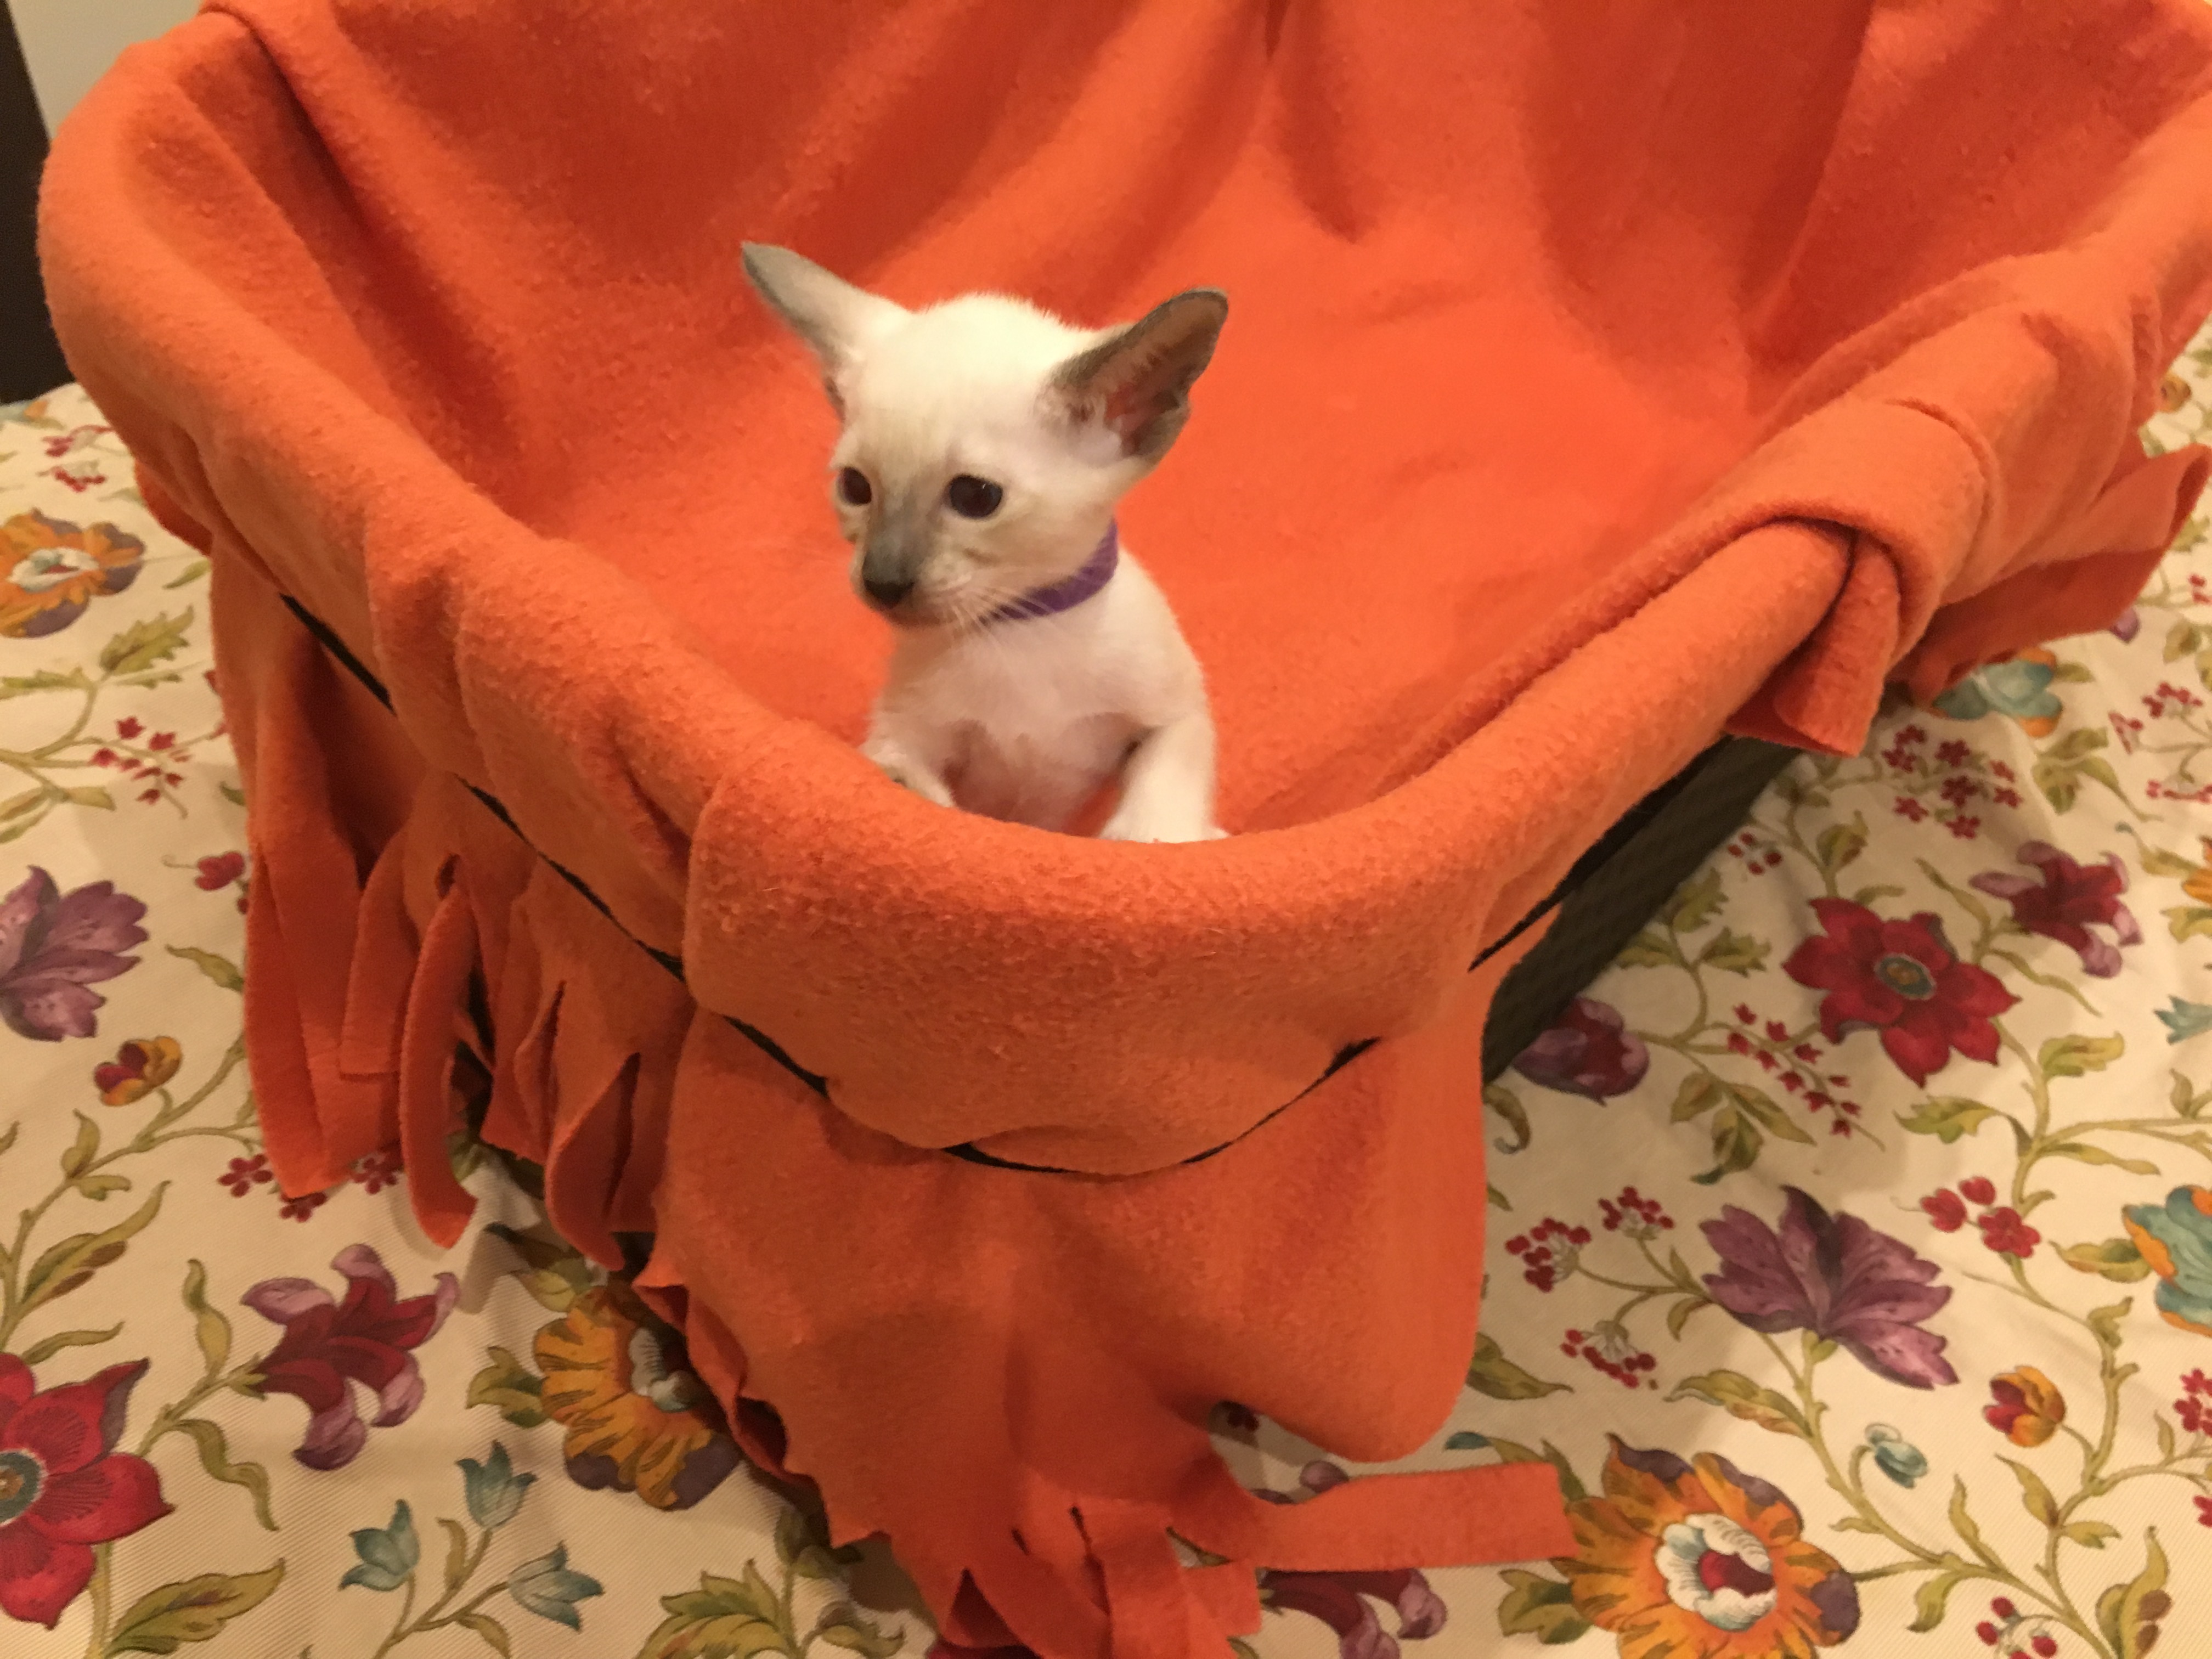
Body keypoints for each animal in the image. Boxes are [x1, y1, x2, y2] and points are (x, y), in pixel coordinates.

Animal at [742, 244, 1228, 843]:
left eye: (975, 497)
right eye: (856, 488)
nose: (882, 582)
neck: (1019, 627)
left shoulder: (1176, 713)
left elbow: (1164, 797)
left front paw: (1152, 836)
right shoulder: (909, 730)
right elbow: (907, 777)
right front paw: (900, 782)